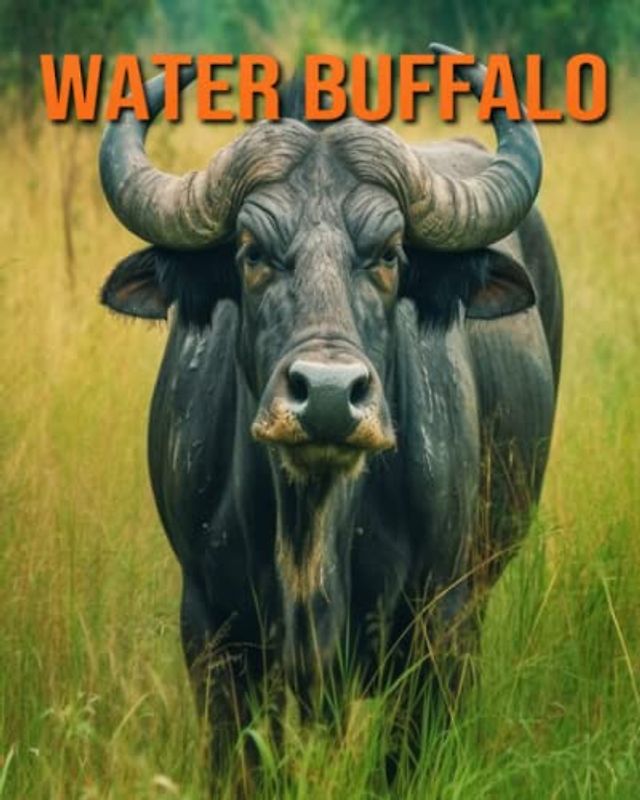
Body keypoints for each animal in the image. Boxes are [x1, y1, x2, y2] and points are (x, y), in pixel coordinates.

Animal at [99, 43, 562, 788]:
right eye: (252, 252)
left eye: (389, 254)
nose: (324, 394)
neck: (314, 531)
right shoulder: (211, 630)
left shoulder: (441, 627)